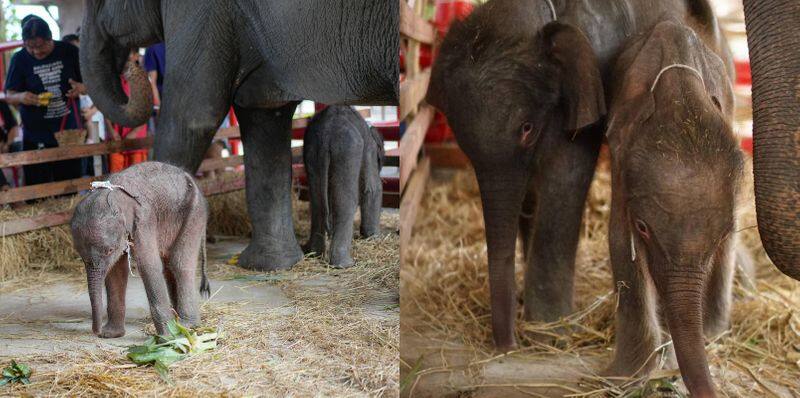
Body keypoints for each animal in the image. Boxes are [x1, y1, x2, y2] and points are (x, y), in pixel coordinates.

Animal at [72, 160, 209, 338]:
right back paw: (178, 320)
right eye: (81, 256)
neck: (115, 196)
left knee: (179, 264)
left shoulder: (143, 220)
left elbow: (148, 266)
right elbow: (116, 270)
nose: (97, 332)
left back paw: (187, 324)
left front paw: (166, 338)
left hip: (194, 214)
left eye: (109, 250)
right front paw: (111, 334)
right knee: (169, 266)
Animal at [304, 105, 384, 268]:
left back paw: (314, 253)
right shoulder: (369, 149)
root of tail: (326, 133)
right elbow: (372, 189)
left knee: (317, 203)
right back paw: (344, 264)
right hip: (347, 150)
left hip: (311, 149)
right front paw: (373, 236)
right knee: (345, 203)